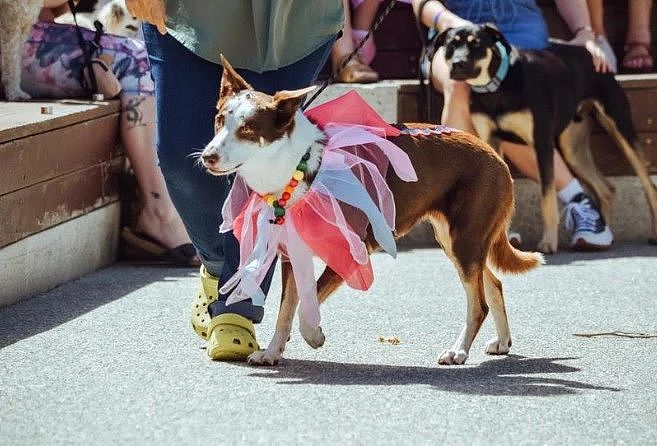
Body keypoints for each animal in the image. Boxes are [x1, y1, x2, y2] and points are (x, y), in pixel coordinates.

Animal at [201, 56, 544, 366]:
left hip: (465, 240)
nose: (207, 156)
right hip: (457, 241)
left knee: (479, 303)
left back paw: (458, 351)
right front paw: (273, 351)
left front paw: (313, 334)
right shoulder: (294, 253)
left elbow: (304, 306)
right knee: (494, 285)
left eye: (248, 129)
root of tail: (494, 155)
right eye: (219, 120)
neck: (301, 167)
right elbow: (286, 310)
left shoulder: (356, 248)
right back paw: (502, 341)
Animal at [430, 24, 656, 253]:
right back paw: (603, 233)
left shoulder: (541, 144)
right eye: (451, 45)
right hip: (573, 148)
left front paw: (548, 241)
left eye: (476, 44)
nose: (458, 63)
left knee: (648, 185)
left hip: (620, 125)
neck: (497, 88)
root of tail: (587, 51)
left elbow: (547, 197)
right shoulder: (491, 141)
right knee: (606, 189)